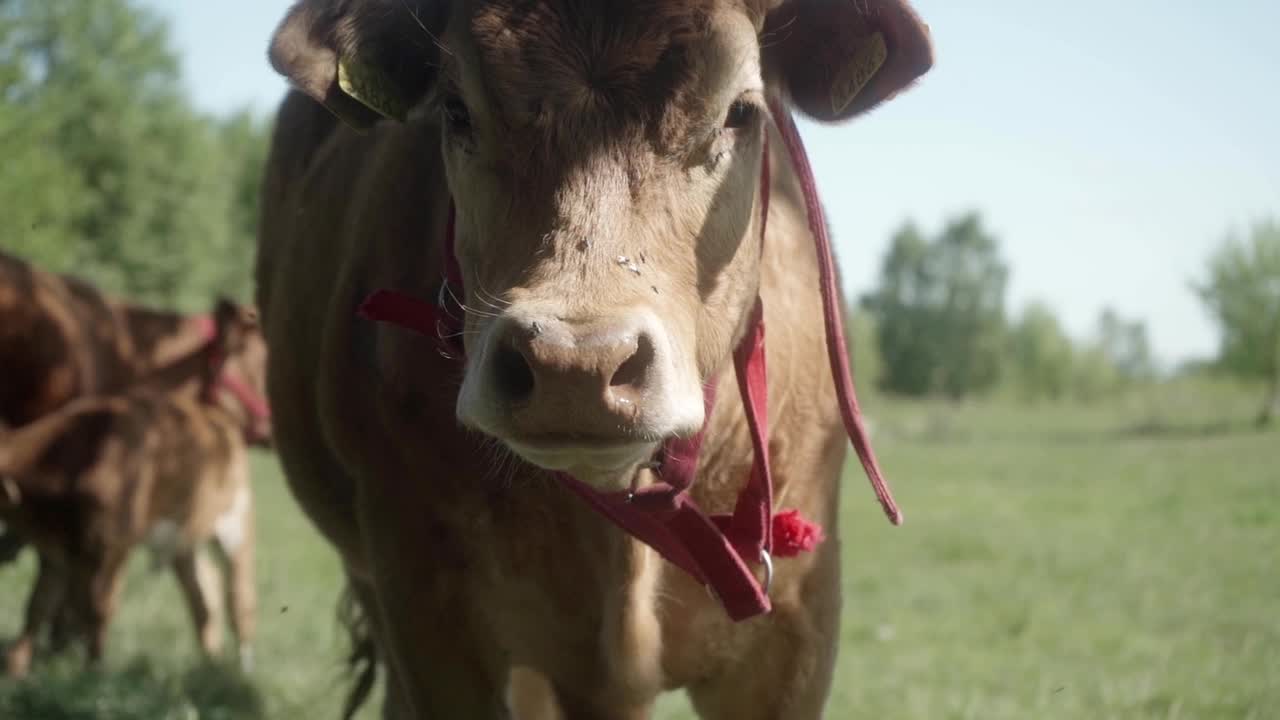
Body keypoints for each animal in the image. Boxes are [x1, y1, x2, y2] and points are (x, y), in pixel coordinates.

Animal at [0, 295, 267, 671]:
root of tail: (221, 422)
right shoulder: (59, 549)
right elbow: (40, 604)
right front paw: (17, 668)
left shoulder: (113, 543)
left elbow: (97, 609)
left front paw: (92, 672)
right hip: (183, 538)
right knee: (204, 594)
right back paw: (210, 663)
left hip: (236, 524)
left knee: (239, 598)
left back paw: (240, 669)